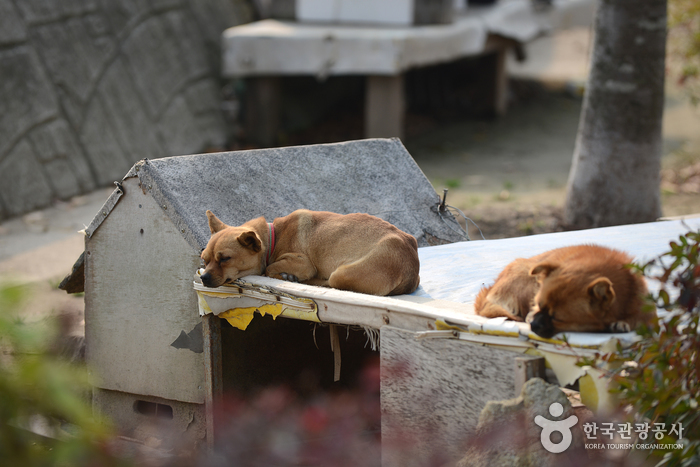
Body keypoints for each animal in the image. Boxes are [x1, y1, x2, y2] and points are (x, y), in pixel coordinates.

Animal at [200, 209, 418, 296]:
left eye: (225, 259)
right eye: (204, 260)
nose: (203, 278)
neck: (274, 236)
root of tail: (411, 266)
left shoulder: (303, 263)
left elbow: (270, 267)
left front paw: (284, 275)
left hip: (340, 274)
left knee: (328, 282)